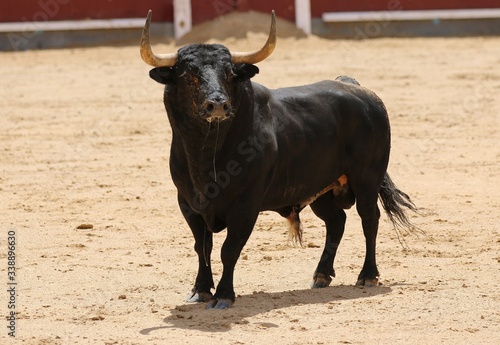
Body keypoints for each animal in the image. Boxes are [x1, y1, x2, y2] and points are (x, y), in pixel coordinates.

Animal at [139, 10, 416, 308]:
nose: (218, 105)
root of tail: (355, 86)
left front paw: (224, 295)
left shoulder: (246, 205)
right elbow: (202, 247)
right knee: (336, 221)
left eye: (229, 72)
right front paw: (200, 290)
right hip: (321, 189)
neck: (208, 152)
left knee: (369, 218)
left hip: (367, 178)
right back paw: (321, 275)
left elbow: (229, 249)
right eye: (187, 74)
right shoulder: (188, 203)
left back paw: (368, 276)